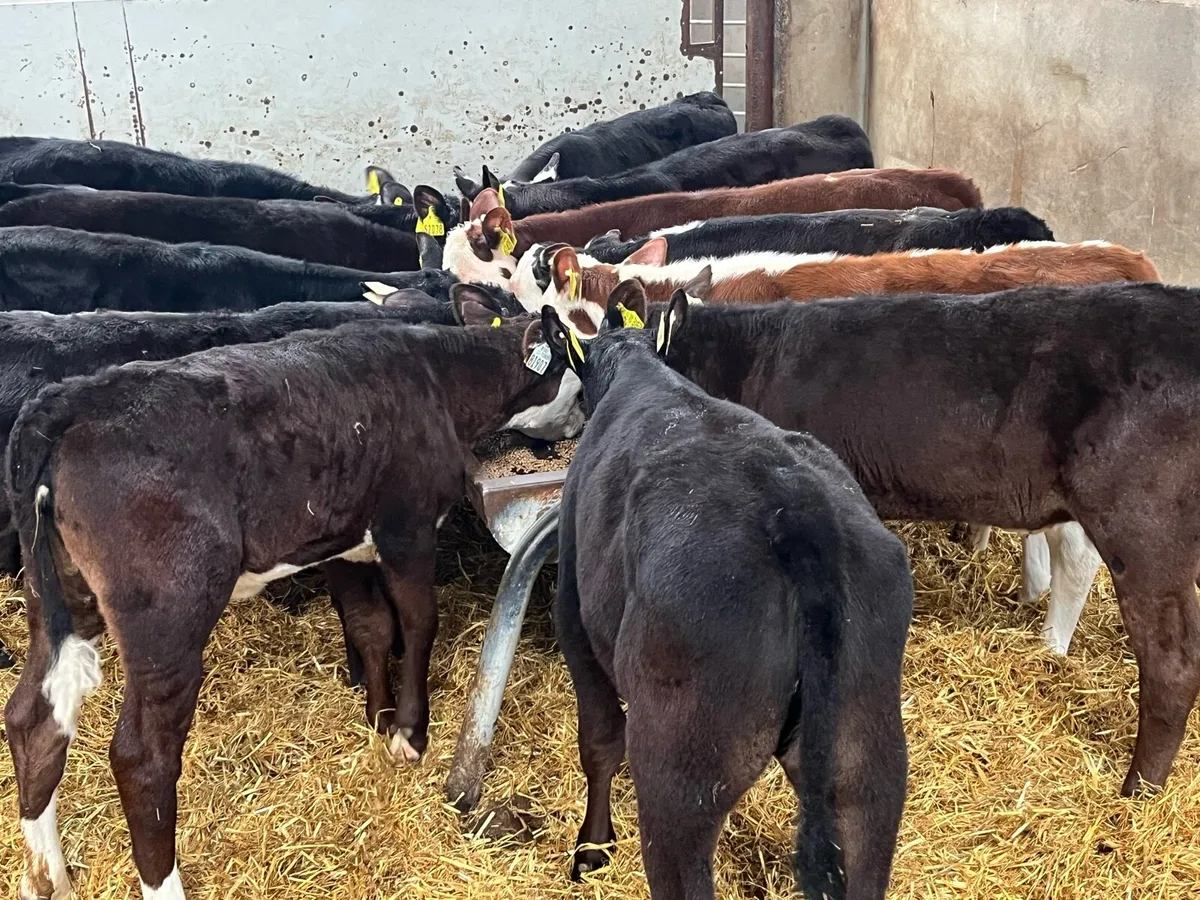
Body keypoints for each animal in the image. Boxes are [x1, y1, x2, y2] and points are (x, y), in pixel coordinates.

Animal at [4, 306, 582, 899]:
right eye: (576, 364)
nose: (583, 420)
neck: (437, 377)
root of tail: (66, 402)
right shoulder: (408, 526)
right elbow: (420, 622)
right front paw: (409, 732)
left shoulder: (341, 541)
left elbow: (372, 624)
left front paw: (379, 719)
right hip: (167, 614)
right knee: (142, 756)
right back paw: (161, 881)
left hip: (62, 598)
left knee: (33, 719)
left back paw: (47, 876)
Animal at [539, 290, 912, 900]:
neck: (637, 368)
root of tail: (795, 510)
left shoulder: (572, 614)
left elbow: (598, 743)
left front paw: (592, 849)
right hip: (869, 762)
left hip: (679, 771)